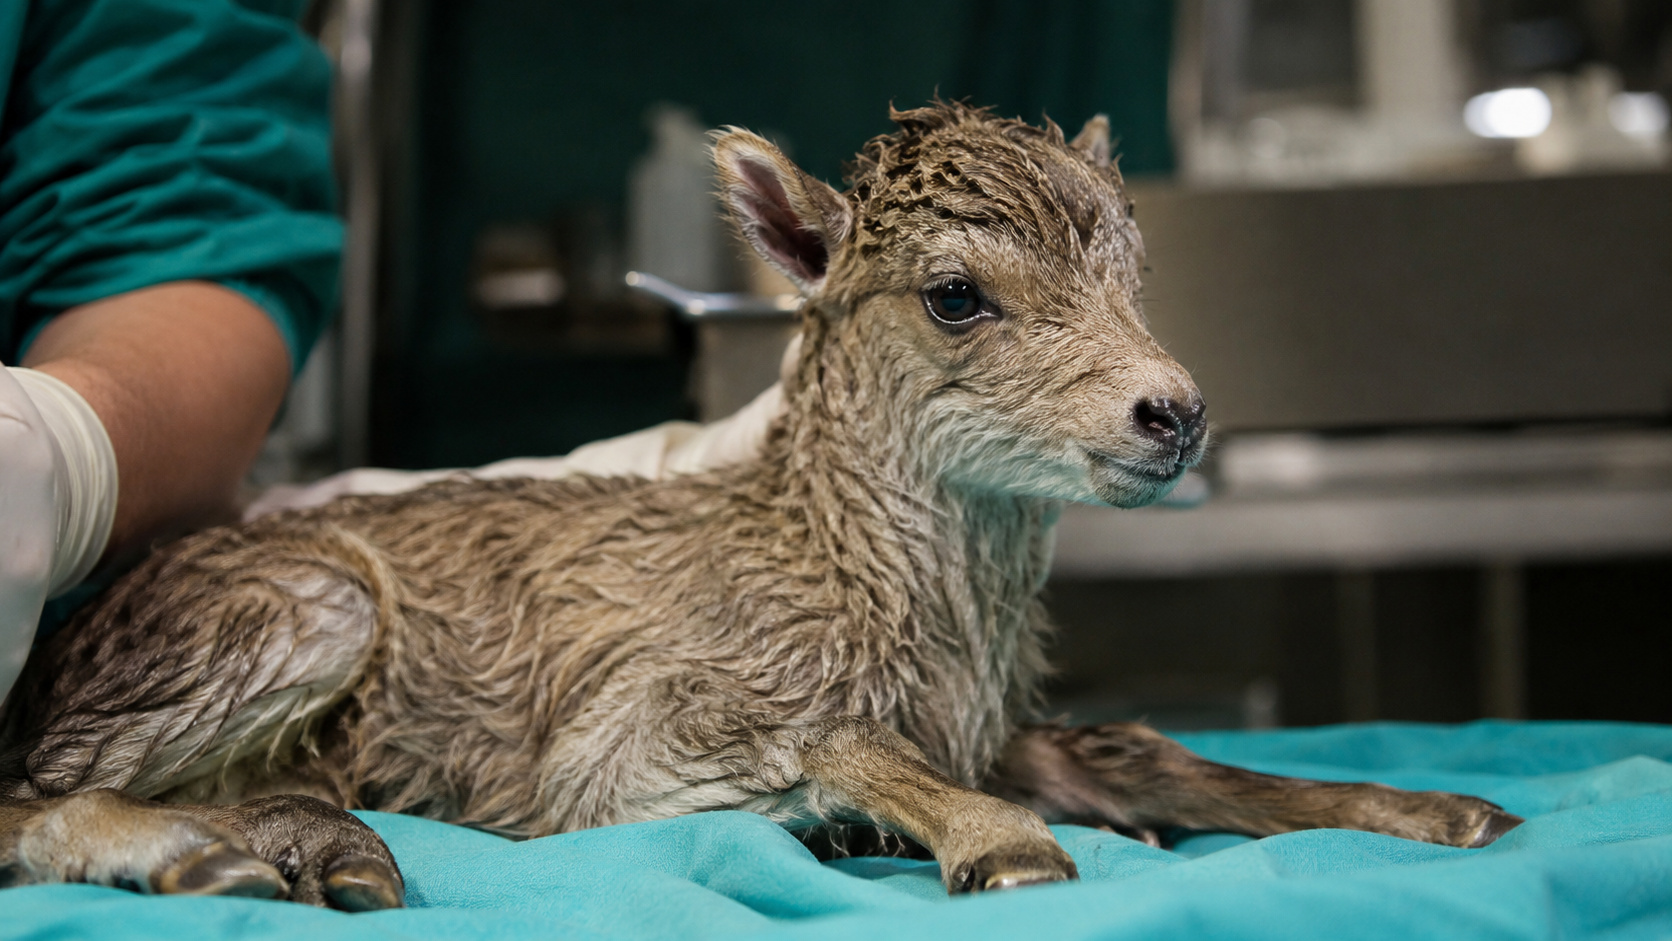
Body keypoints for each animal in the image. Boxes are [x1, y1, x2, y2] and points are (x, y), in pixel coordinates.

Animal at [0, 103, 1521, 909]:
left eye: (1133, 274)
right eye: (955, 293)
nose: (1174, 410)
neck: (843, 566)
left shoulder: (985, 718)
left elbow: (1135, 743)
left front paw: (1427, 807)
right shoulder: (617, 741)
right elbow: (824, 742)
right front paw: (994, 845)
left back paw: (319, 846)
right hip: (287, 610)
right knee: (31, 789)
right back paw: (209, 853)